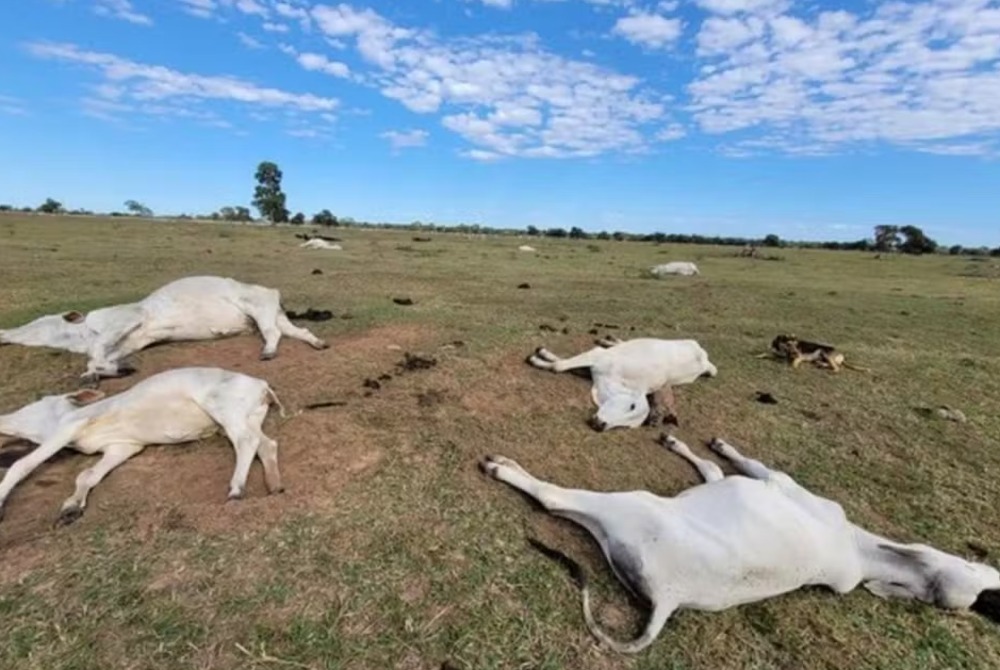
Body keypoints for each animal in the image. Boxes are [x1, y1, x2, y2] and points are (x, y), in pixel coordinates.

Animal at [0, 276, 329, 384]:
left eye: (40, 323)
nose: (4, 333)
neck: (85, 332)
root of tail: (273, 292)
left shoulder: (129, 317)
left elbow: (97, 352)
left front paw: (99, 371)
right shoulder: (130, 341)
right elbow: (101, 358)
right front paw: (106, 371)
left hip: (259, 309)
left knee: (273, 334)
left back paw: (268, 352)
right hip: (273, 314)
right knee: (298, 331)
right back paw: (318, 343)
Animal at [0, 367, 288, 526]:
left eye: (36, 404)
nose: (4, 417)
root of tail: (262, 385)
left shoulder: (70, 427)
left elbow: (22, 464)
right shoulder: (123, 447)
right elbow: (88, 475)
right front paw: (71, 508)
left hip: (224, 408)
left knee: (246, 441)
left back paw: (236, 489)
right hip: (250, 416)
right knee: (266, 444)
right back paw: (274, 484)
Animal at [481, 433, 1000, 654]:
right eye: (983, 575)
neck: (860, 550)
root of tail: (670, 598)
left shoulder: (776, 480)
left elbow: (740, 463)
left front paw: (717, 445)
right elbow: (712, 469)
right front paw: (682, 443)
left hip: (630, 505)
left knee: (553, 499)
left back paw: (503, 467)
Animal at [527, 336, 717, 430]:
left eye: (629, 426)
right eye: (632, 406)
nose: (600, 425)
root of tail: (705, 359)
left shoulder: (591, 368)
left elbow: (561, 364)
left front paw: (542, 357)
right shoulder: (598, 355)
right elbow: (559, 365)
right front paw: (538, 356)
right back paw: (607, 340)